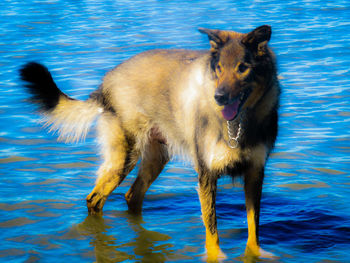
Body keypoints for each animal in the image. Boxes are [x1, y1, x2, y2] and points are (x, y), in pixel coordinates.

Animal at [19, 25, 282, 260]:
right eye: (218, 69)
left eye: (243, 68)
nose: (218, 97)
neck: (239, 123)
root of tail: (105, 83)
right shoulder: (206, 174)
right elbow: (212, 229)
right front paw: (217, 256)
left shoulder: (255, 173)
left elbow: (253, 227)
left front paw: (255, 254)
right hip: (124, 158)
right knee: (95, 199)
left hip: (155, 158)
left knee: (131, 196)